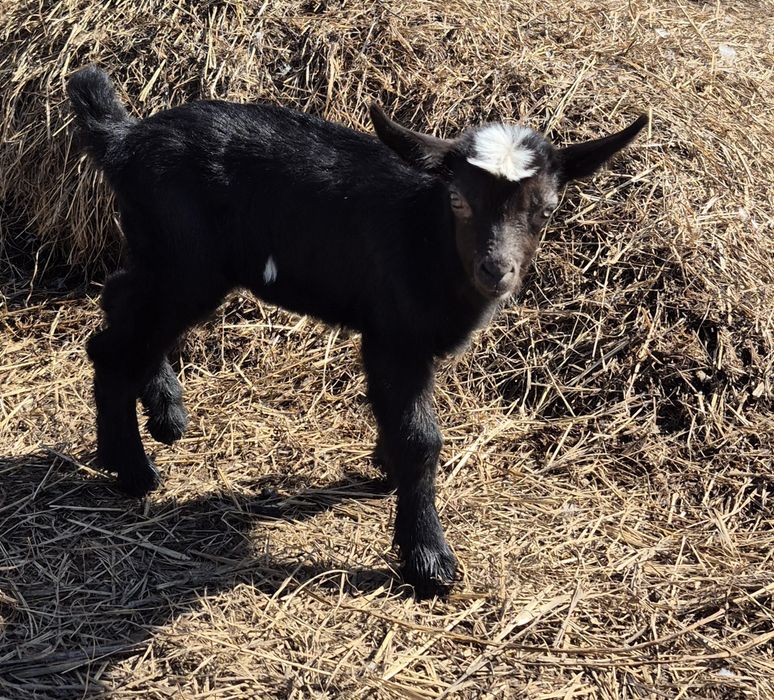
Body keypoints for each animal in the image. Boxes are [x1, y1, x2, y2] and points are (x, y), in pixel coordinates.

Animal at [68, 66, 647, 596]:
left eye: (547, 210)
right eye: (457, 200)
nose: (496, 270)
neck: (428, 239)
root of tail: (126, 140)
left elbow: (396, 421)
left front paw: (386, 471)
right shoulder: (395, 335)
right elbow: (420, 438)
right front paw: (428, 559)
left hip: (165, 258)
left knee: (122, 302)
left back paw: (163, 412)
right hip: (185, 260)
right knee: (115, 345)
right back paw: (132, 469)